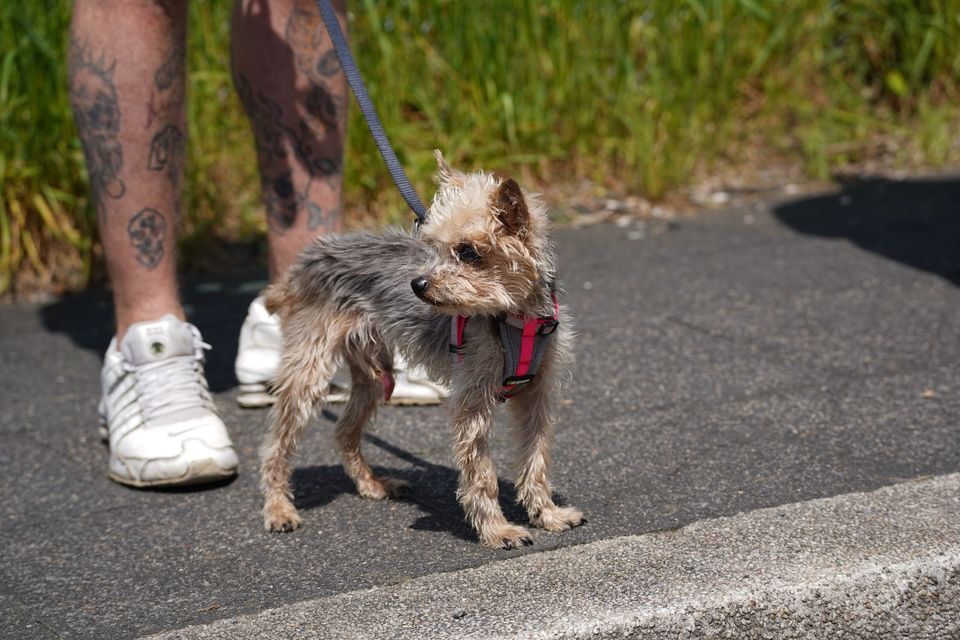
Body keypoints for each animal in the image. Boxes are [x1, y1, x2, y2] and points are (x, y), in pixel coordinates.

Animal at [258, 151, 580, 552]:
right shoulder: (472, 402)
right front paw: (498, 531)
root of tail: (306, 261)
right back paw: (278, 508)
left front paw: (548, 515)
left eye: (467, 252)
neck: (511, 315)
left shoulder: (536, 394)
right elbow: (481, 475)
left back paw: (373, 484)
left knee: (345, 430)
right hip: (310, 370)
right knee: (276, 444)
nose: (418, 284)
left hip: (373, 373)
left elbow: (536, 460)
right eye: (436, 247)